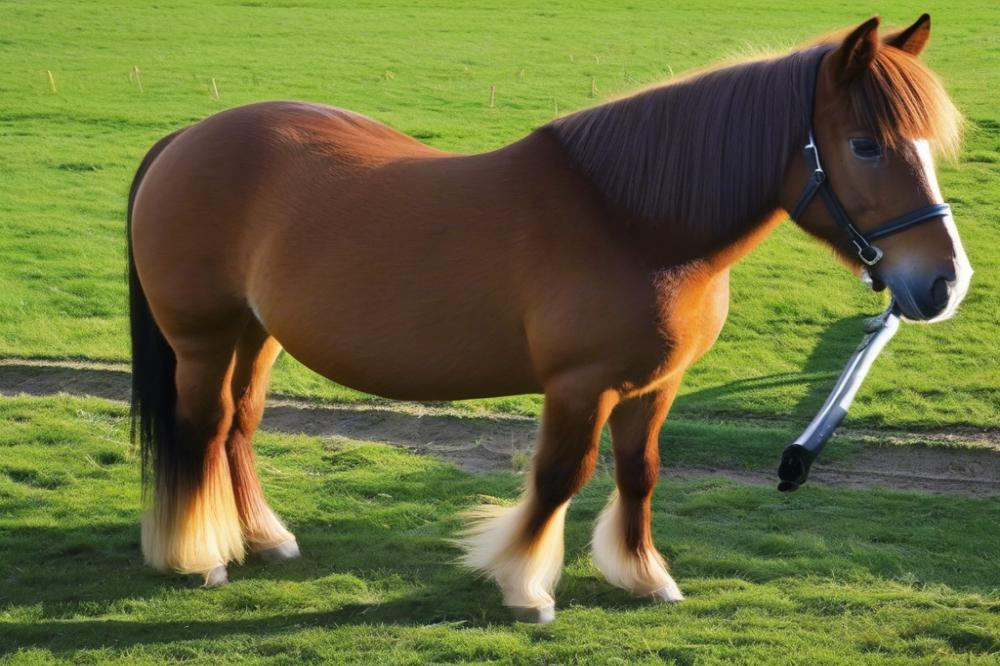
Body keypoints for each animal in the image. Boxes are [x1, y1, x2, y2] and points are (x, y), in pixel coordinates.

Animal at [127, 13, 968, 620]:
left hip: (256, 335)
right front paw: (525, 587)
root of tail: (186, 138)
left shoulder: (652, 388)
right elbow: (561, 478)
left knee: (238, 426)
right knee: (202, 429)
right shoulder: (579, 387)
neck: (631, 220)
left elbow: (640, 474)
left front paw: (644, 577)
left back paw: (264, 539)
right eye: (864, 144)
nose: (944, 283)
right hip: (203, 339)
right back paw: (200, 557)